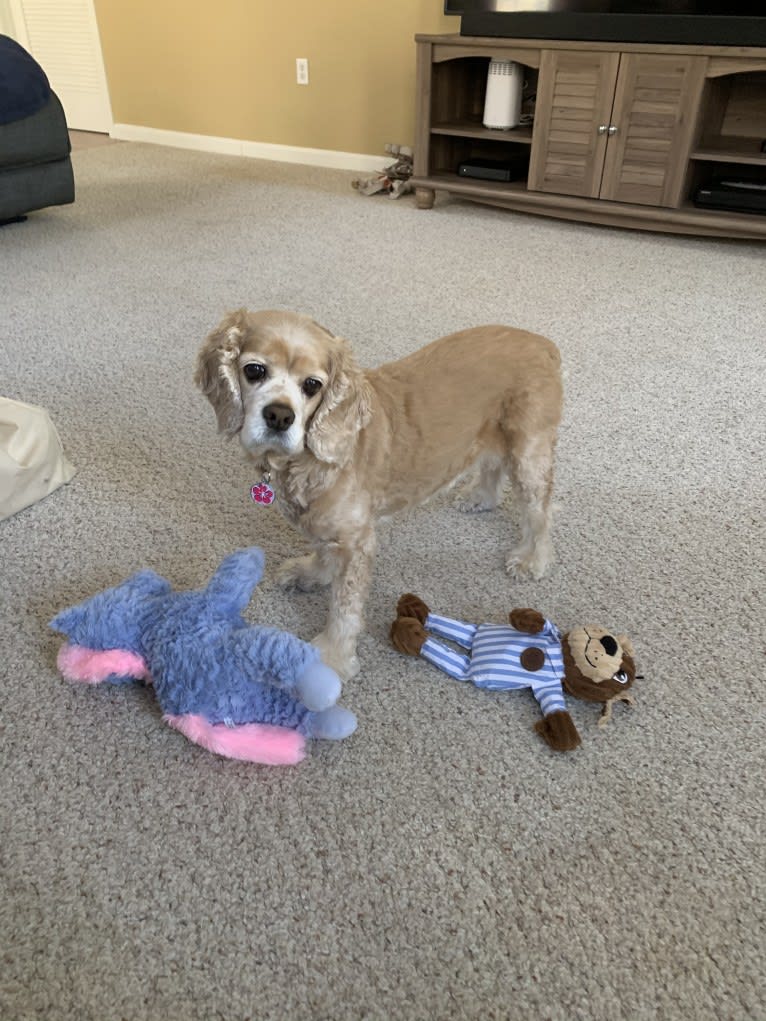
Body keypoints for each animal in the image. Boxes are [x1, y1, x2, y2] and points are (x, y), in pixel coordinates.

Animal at [196, 308, 563, 677]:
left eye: (312, 385)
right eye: (254, 370)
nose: (280, 415)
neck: (307, 462)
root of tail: (543, 343)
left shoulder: (356, 540)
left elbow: (344, 609)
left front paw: (332, 658)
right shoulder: (329, 526)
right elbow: (323, 554)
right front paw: (311, 574)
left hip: (529, 449)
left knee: (540, 510)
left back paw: (533, 559)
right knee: (492, 464)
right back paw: (480, 498)